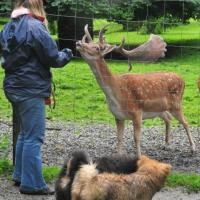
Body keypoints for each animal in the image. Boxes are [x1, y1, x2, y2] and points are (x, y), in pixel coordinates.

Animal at [76, 24, 196, 158]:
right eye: (87, 42)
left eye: (96, 47)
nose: (78, 43)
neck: (117, 93)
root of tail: (183, 80)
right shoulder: (118, 116)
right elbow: (119, 138)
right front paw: (119, 156)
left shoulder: (136, 112)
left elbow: (136, 138)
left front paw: (139, 157)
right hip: (160, 109)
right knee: (168, 118)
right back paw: (166, 144)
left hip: (176, 103)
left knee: (185, 122)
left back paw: (192, 148)